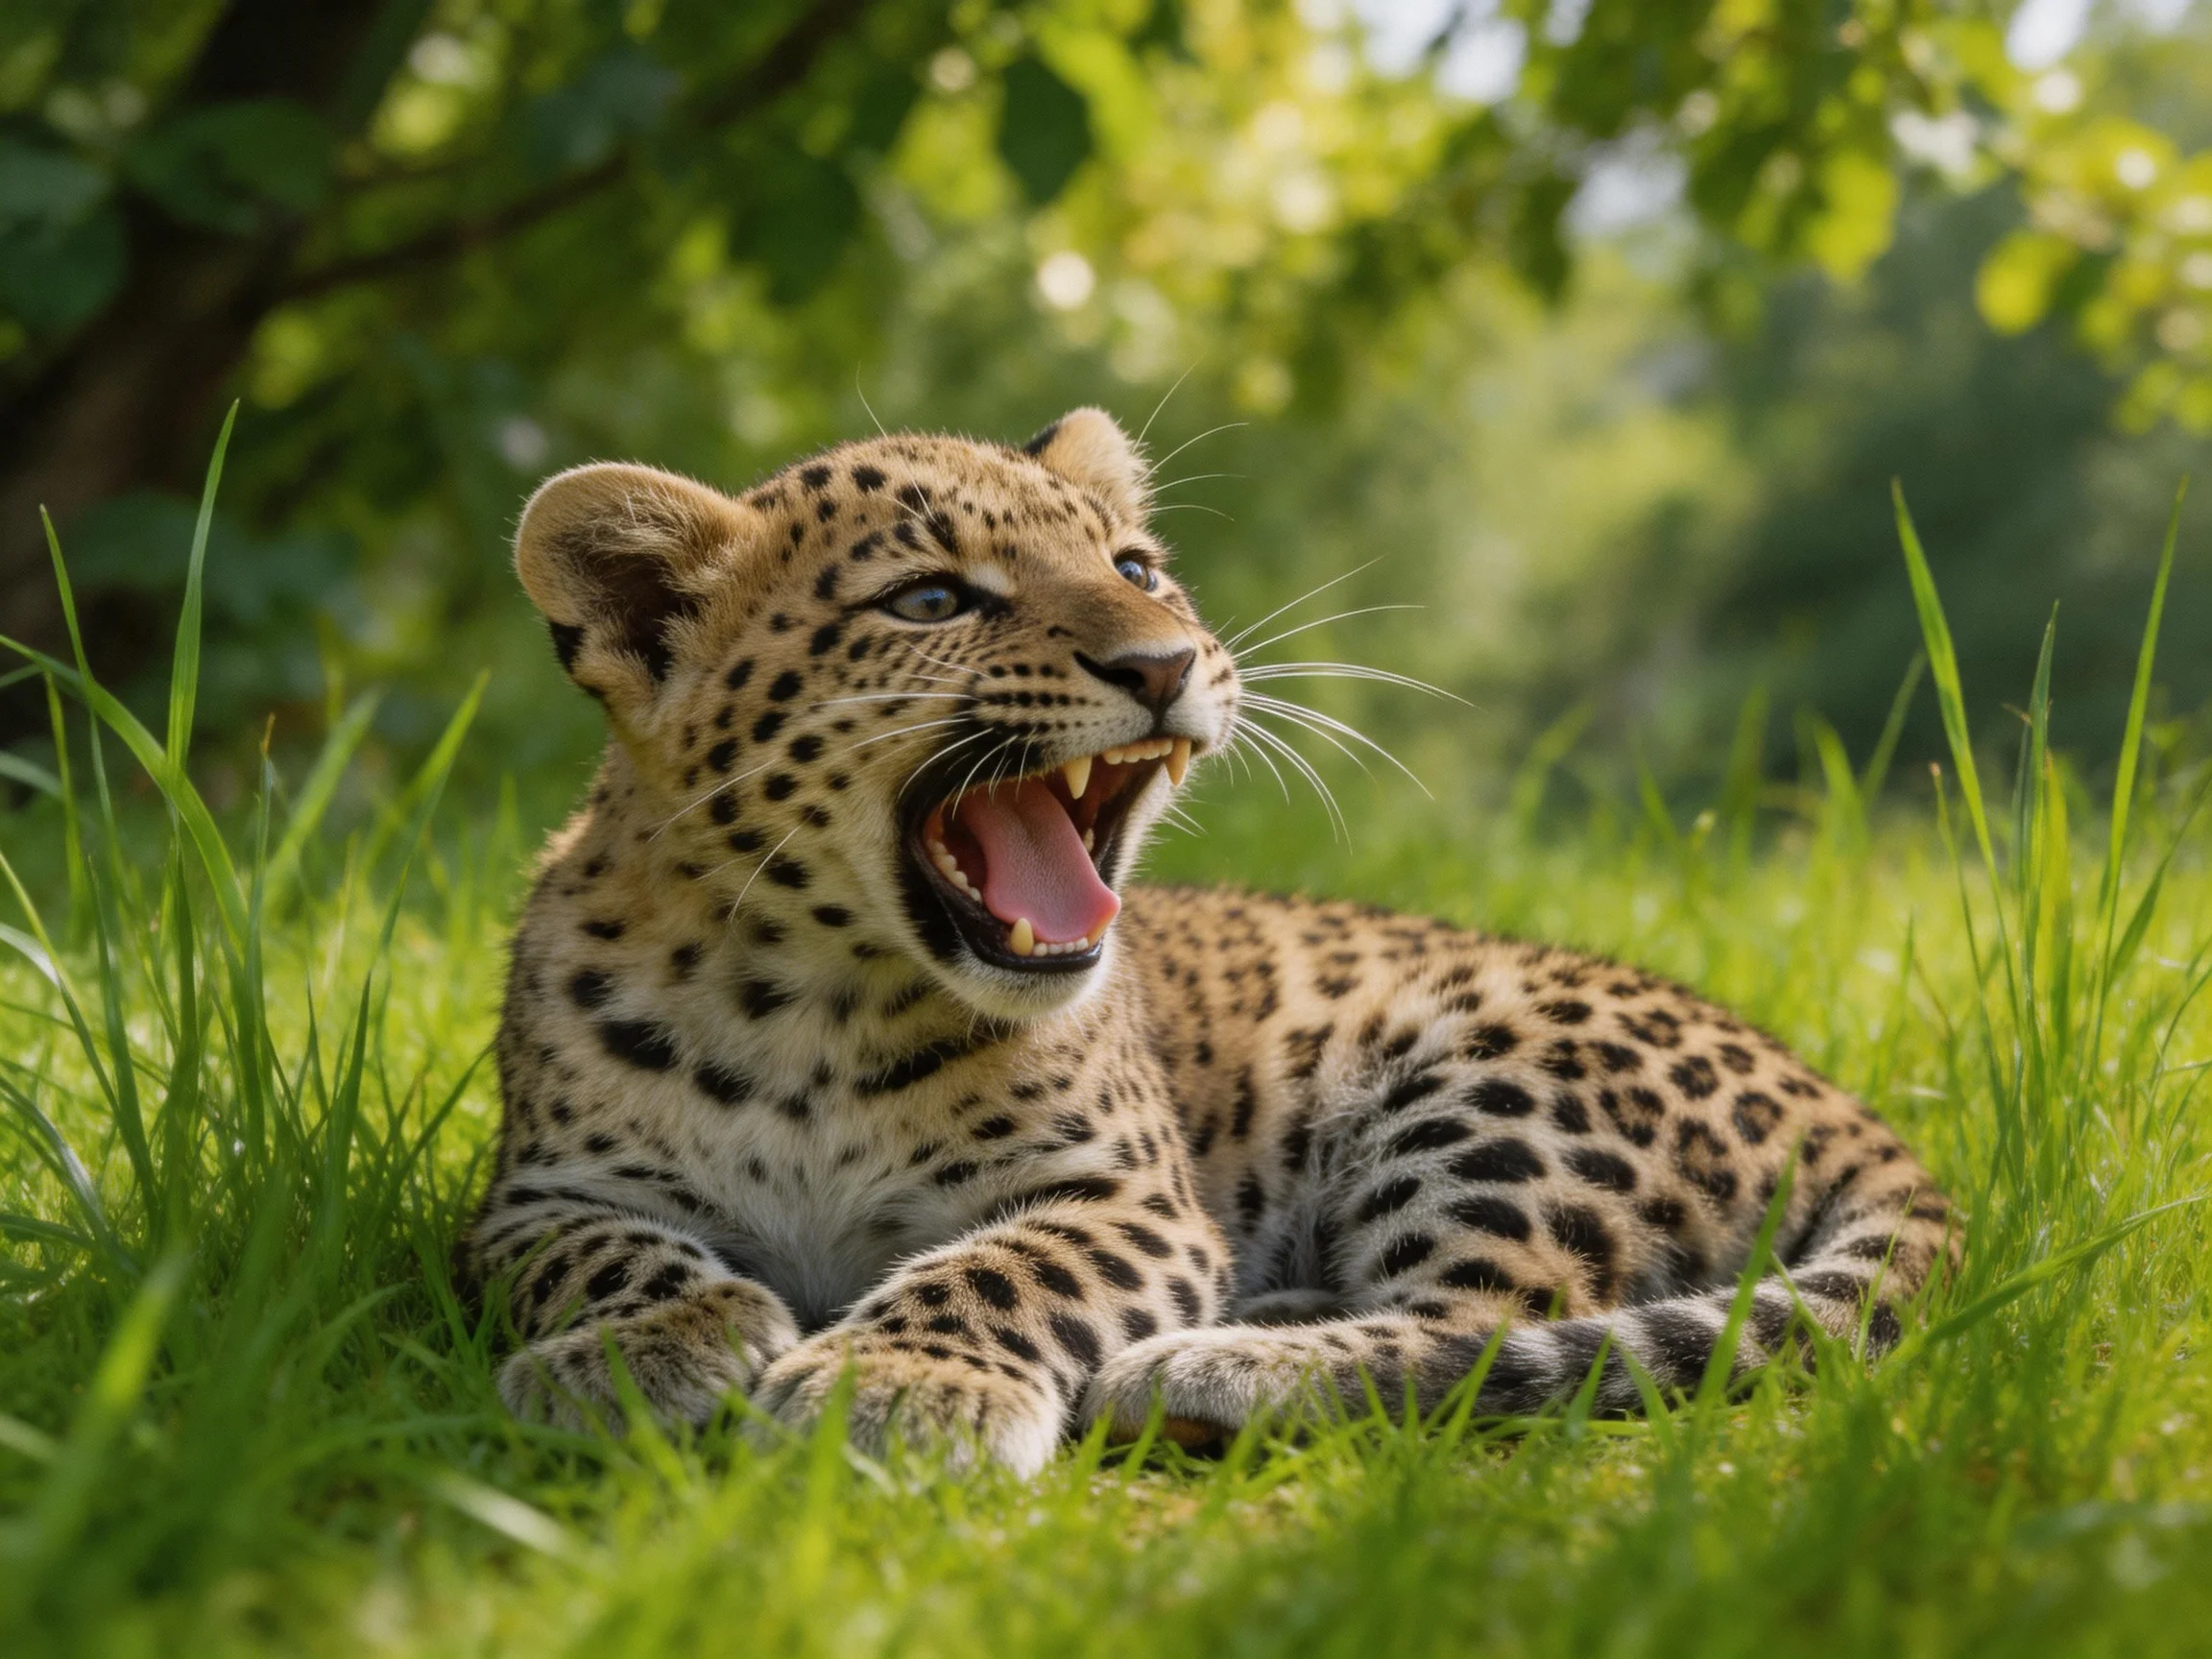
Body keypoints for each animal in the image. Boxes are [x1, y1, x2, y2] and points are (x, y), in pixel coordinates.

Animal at [463, 407, 1959, 1474]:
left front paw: (898, 1381)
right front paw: (650, 1340)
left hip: (1484, 1087)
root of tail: (1838, 1096)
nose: (1165, 662)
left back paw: (1211, 1361)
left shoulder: (1125, 1196)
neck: (810, 1002)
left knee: (1489, 1329)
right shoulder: (535, 1197)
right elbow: (602, 1253)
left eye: (1136, 571)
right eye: (932, 602)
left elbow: (1002, 1269)